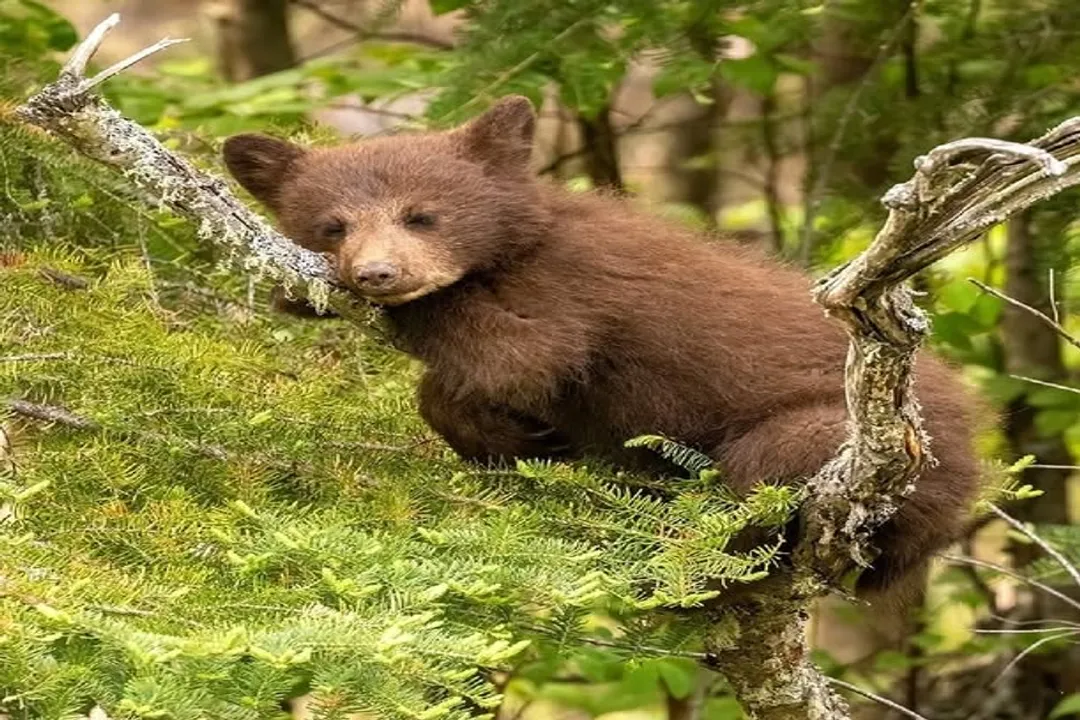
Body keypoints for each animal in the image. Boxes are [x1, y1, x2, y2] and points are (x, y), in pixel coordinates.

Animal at [222, 95, 983, 604]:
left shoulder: (565, 289)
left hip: (848, 439)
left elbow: (518, 354)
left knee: (763, 475)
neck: (517, 245)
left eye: (421, 215)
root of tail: (975, 465)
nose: (377, 273)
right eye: (332, 225)